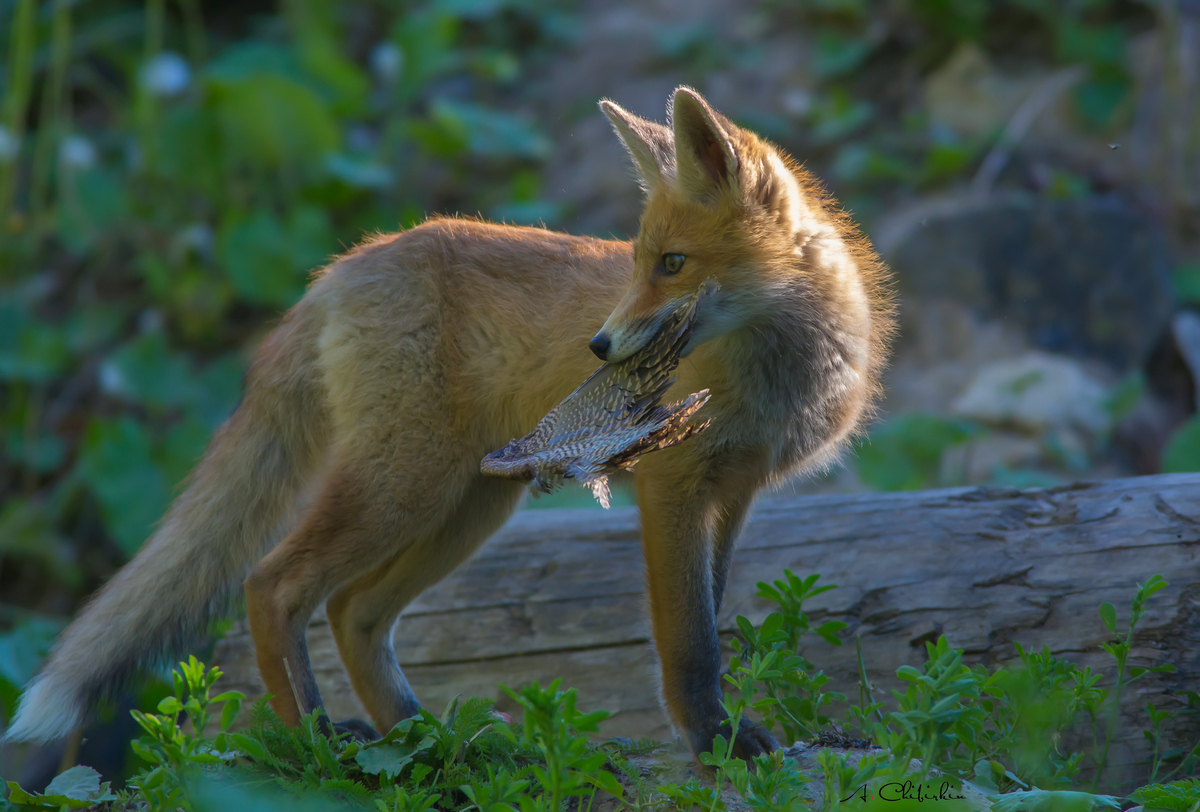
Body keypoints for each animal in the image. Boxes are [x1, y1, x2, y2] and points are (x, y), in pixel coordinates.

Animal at [7, 88, 892, 758]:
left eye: (672, 265)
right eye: (641, 263)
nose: (599, 346)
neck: (781, 371)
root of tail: (343, 265)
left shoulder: (732, 489)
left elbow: (709, 611)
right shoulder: (670, 483)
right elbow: (690, 639)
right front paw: (715, 742)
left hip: (470, 503)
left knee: (354, 613)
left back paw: (427, 741)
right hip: (406, 485)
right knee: (273, 583)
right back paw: (318, 744)